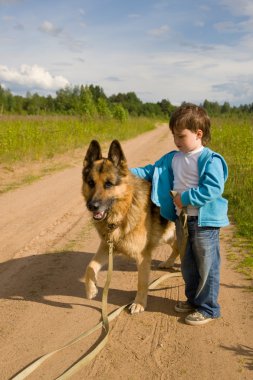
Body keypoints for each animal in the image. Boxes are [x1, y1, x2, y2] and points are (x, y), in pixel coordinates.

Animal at [82, 140, 179, 314]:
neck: (124, 211)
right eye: (91, 183)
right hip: (168, 235)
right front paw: (91, 289)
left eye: (108, 184)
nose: (92, 206)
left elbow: (141, 283)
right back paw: (168, 262)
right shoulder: (107, 247)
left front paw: (139, 303)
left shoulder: (143, 257)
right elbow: (90, 266)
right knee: (176, 248)